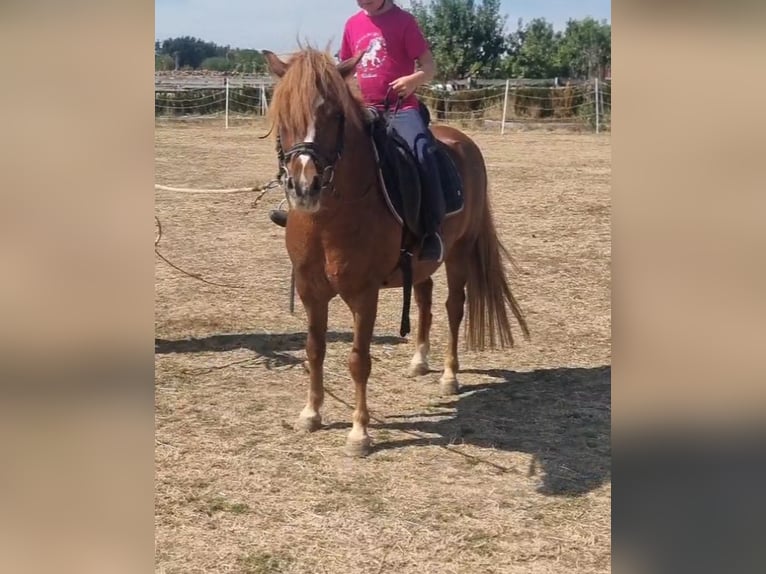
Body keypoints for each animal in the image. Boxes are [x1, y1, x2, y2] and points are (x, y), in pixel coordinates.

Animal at [262, 47, 529, 457]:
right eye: (283, 113)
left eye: (334, 115)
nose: (305, 186)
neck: (331, 217)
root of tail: (461, 140)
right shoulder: (310, 291)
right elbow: (314, 349)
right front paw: (311, 414)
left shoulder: (363, 294)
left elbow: (358, 360)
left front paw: (359, 433)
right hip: (420, 264)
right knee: (424, 298)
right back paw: (419, 360)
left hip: (460, 252)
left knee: (454, 307)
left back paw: (449, 376)